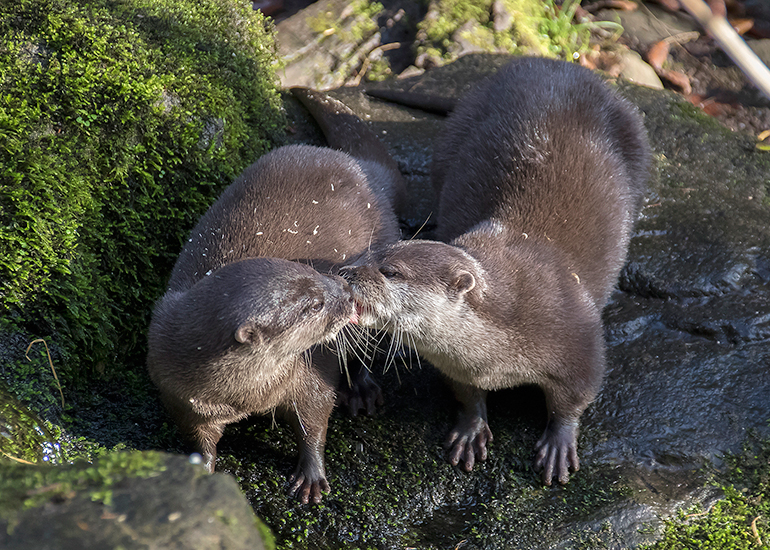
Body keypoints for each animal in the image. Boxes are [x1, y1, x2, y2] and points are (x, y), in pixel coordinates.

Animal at [148, 90, 403, 503]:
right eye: (313, 304)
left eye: (316, 272)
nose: (346, 290)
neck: (245, 395)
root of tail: (362, 169)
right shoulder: (181, 398)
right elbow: (200, 440)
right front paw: (200, 473)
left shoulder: (308, 373)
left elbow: (314, 420)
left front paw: (312, 477)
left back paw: (362, 391)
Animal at [340, 57, 651, 486]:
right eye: (373, 252)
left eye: (391, 271)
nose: (347, 272)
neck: (499, 353)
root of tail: (550, 63)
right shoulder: (458, 366)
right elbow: (465, 393)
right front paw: (471, 429)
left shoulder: (579, 341)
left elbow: (575, 397)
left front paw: (559, 443)